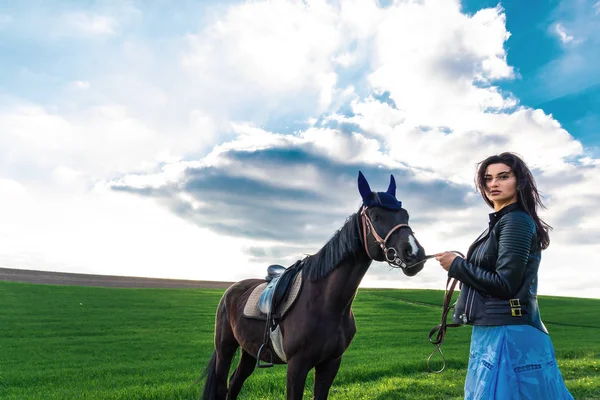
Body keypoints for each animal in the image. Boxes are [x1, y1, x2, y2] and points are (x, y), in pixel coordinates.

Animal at [200, 170, 426, 398]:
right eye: (376, 216)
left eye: (405, 215)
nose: (414, 253)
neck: (327, 302)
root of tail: (231, 290)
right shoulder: (297, 366)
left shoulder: (330, 364)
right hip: (225, 349)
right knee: (222, 385)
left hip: (249, 350)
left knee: (235, 382)